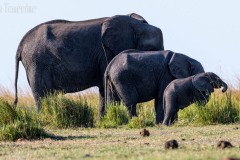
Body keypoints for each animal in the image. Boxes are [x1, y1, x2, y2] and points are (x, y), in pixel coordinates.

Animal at [14, 13, 164, 117]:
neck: (134, 23)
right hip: (36, 63)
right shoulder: (106, 52)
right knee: (41, 95)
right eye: (150, 49)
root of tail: (20, 45)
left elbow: (104, 87)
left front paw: (102, 120)